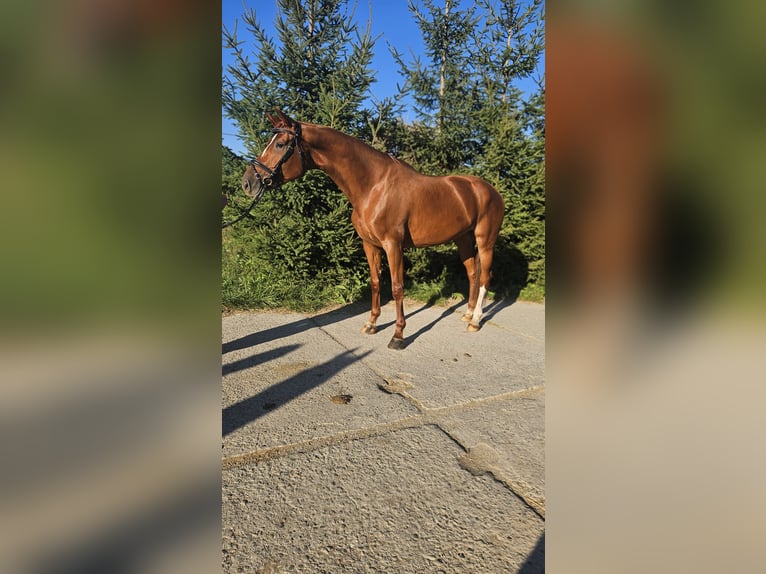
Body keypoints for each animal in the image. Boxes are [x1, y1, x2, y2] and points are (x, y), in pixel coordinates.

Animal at [240, 109, 504, 352]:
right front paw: (371, 324)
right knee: (472, 273)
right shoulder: (370, 244)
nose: (247, 183)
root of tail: (490, 190)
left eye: (280, 144)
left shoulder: (393, 245)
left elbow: (397, 288)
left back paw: (476, 320)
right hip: (463, 240)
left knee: (485, 276)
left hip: (485, 240)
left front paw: (398, 335)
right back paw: (468, 314)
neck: (374, 186)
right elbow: (376, 282)